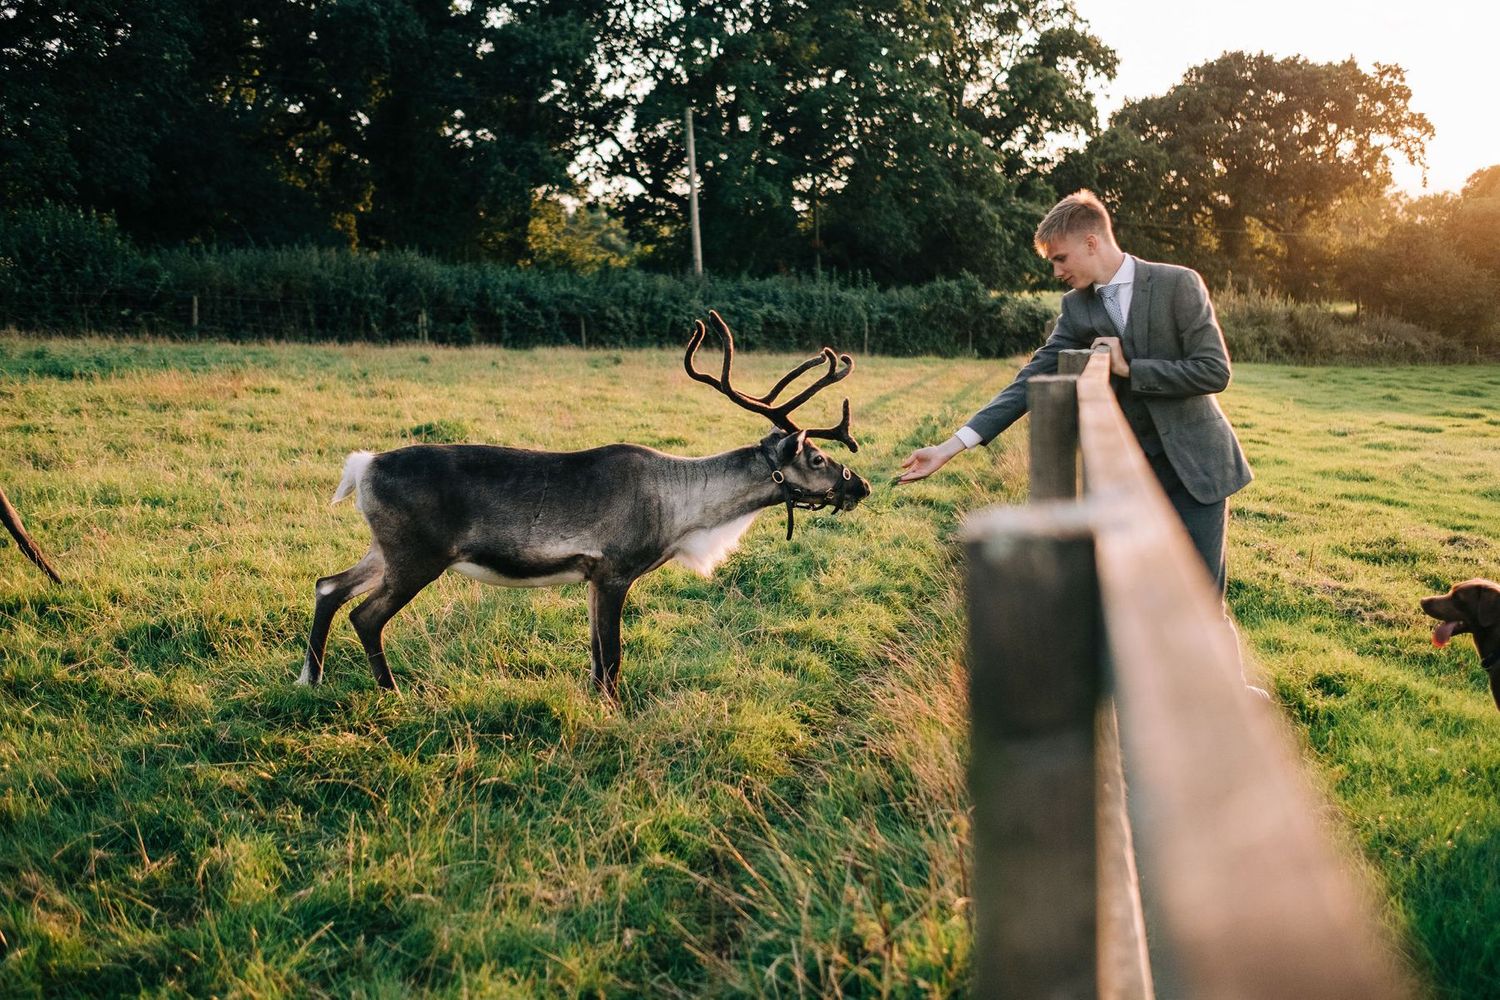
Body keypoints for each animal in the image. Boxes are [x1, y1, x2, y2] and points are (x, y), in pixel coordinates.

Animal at [299, 311, 872, 699]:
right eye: (816, 457)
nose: (861, 486)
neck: (685, 517)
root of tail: (362, 468)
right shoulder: (615, 569)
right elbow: (612, 659)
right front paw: (615, 712)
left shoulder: (593, 577)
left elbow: (597, 659)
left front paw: (598, 704)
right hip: (418, 555)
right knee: (366, 615)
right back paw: (391, 690)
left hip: (386, 549)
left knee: (328, 585)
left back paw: (311, 676)